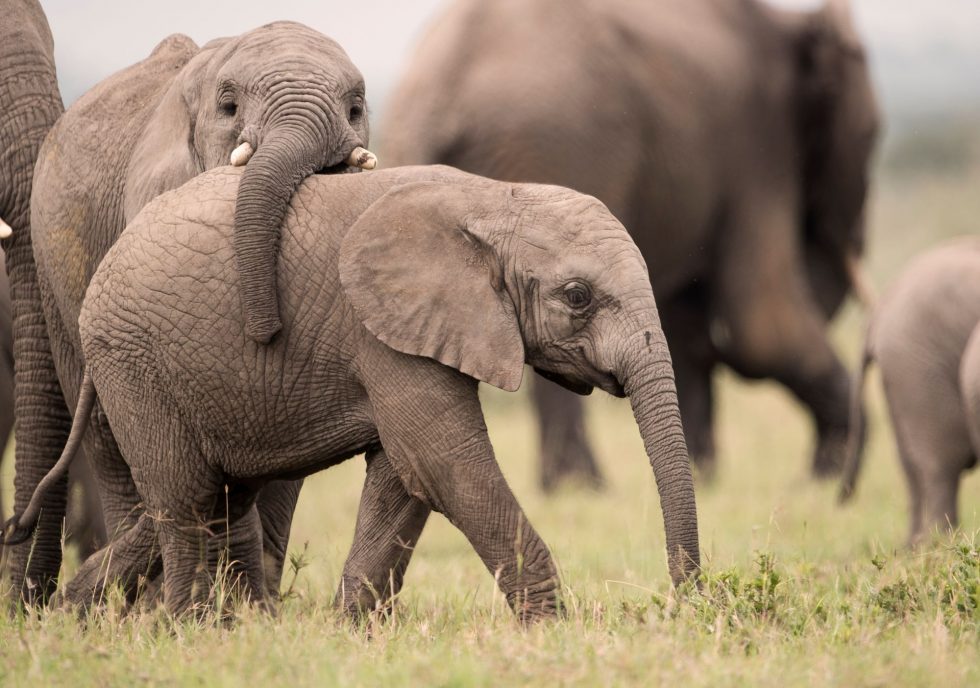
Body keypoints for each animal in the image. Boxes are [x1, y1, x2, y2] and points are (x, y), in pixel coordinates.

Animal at [11, 18, 378, 604]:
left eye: (356, 107)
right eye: (229, 107)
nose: (266, 328)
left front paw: (251, 609)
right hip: (53, 279)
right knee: (109, 441)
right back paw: (139, 607)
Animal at [384, 0, 880, 490]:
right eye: (871, 135)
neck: (792, 22)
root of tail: (438, 94)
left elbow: (690, 327)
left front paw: (707, 478)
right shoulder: (759, 148)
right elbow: (760, 327)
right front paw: (829, 474)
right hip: (559, 142)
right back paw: (581, 487)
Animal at [840, 239, 980, 544]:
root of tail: (882, 308)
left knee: (912, 468)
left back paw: (916, 549)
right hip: (919, 367)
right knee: (941, 466)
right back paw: (941, 546)